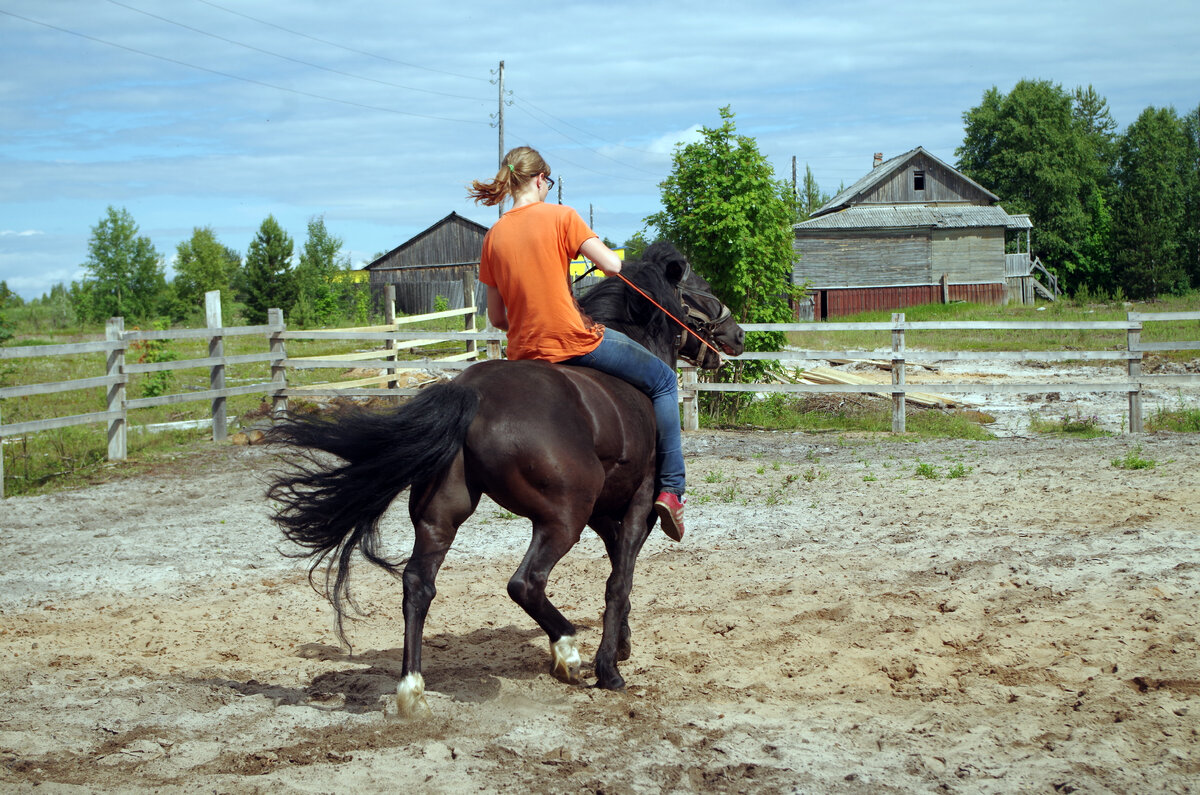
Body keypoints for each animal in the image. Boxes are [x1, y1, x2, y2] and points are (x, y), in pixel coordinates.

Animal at [267, 241, 744, 715]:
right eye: (702, 290)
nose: (737, 334)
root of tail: (472, 392)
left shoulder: (604, 511)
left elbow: (618, 571)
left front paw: (621, 645)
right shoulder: (638, 502)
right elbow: (618, 580)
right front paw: (609, 667)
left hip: (442, 516)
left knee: (418, 585)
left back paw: (412, 688)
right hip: (562, 519)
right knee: (524, 584)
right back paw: (566, 649)